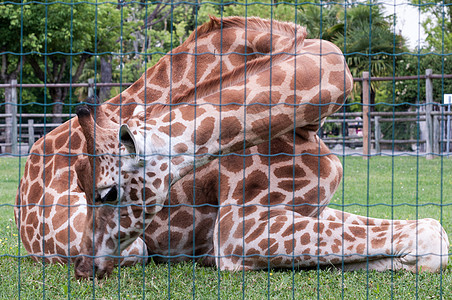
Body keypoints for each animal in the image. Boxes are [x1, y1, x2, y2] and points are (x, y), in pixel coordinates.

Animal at [71, 18, 448, 278]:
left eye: (108, 193)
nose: (83, 267)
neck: (308, 124)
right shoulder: (236, 228)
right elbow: (431, 235)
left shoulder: (310, 208)